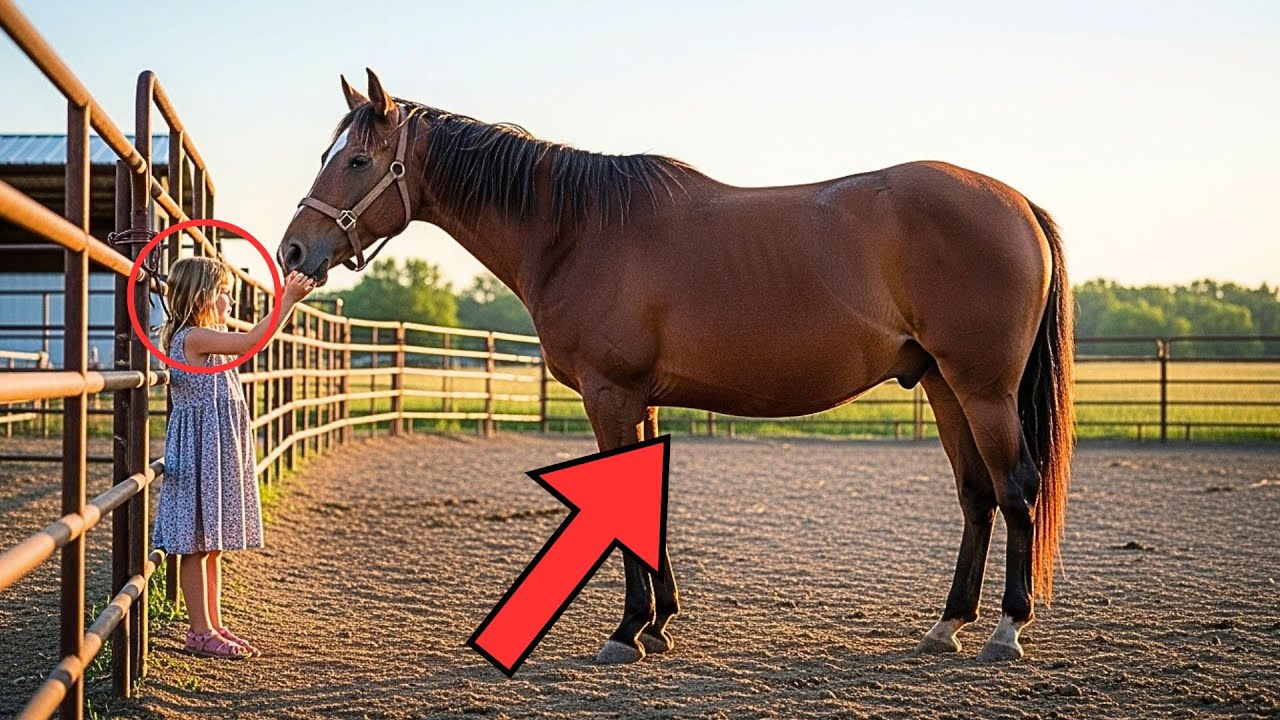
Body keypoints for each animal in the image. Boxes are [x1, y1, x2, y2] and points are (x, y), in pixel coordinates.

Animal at [279, 69, 1075, 665]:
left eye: (356, 160)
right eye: (323, 156)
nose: (292, 251)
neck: (576, 231)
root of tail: (1016, 203)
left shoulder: (610, 395)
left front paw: (626, 633)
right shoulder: (642, 398)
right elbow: (648, 506)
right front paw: (658, 624)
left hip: (983, 390)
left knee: (1016, 489)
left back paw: (1006, 630)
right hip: (943, 385)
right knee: (976, 495)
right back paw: (948, 624)